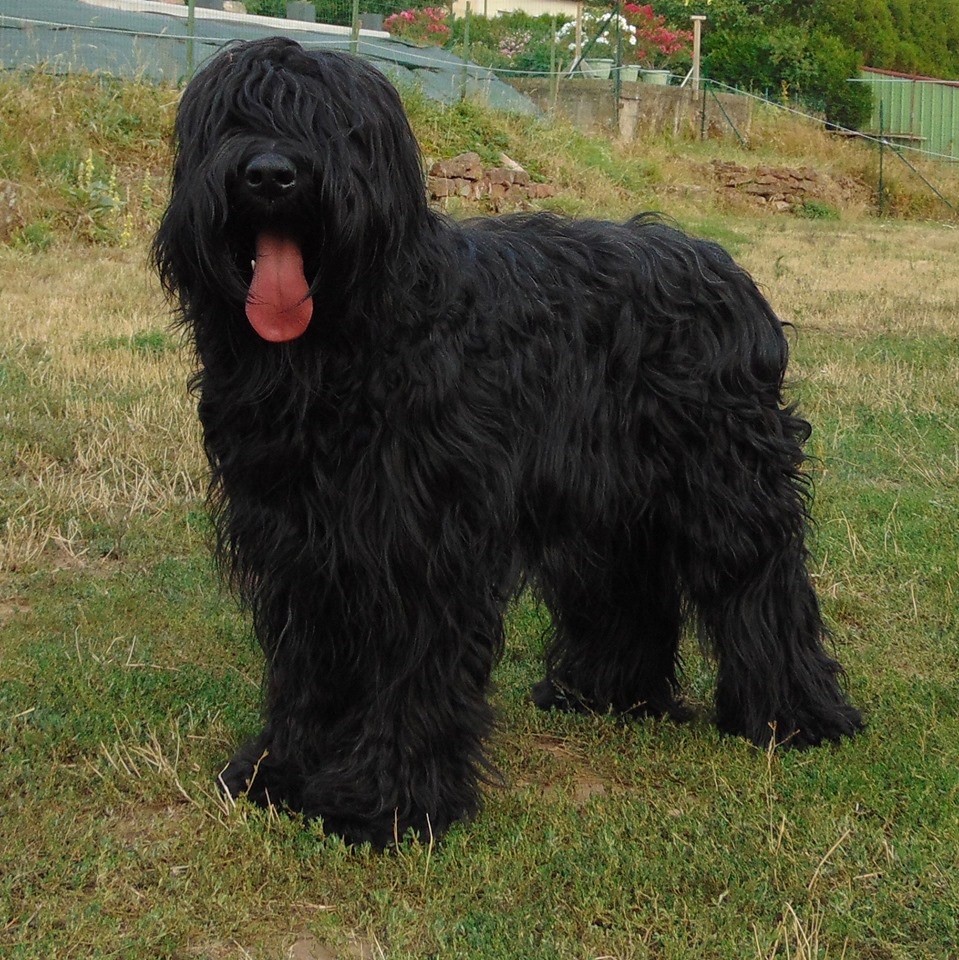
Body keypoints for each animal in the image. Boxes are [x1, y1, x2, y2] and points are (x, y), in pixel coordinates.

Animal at [156, 35, 864, 848]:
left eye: (333, 126)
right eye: (234, 117)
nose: (271, 174)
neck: (348, 346)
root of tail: (721, 264)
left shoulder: (420, 540)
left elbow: (410, 667)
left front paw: (386, 801)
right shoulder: (302, 542)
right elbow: (310, 665)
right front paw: (279, 772)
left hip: (727, 484)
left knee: (762, 584)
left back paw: (795, 714)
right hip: (609, 497)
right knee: (626, 584)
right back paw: (606, 692)